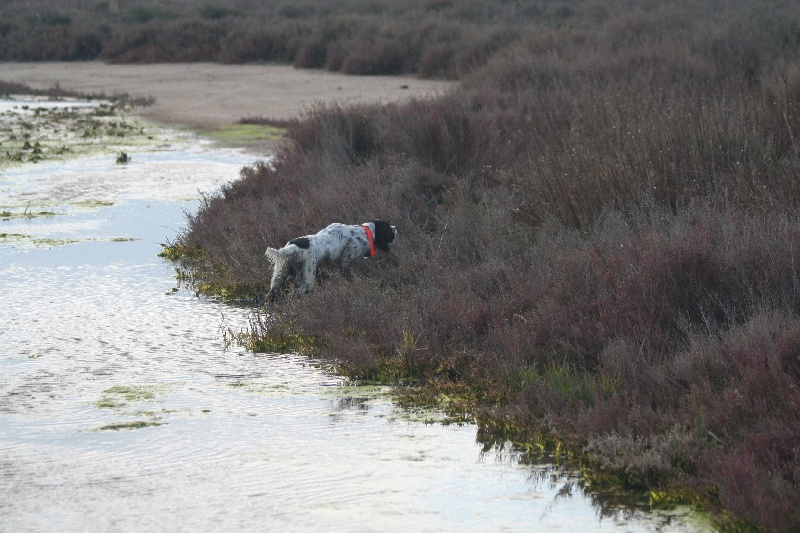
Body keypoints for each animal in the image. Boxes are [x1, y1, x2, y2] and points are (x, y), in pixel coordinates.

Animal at [266, 219, 396, 300]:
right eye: (388, 228)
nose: (395, 227)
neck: (364, 233)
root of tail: (291, 248)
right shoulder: (346, 260)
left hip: (279, 274)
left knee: (272, 292)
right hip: (308, 277)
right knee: (298, 292)